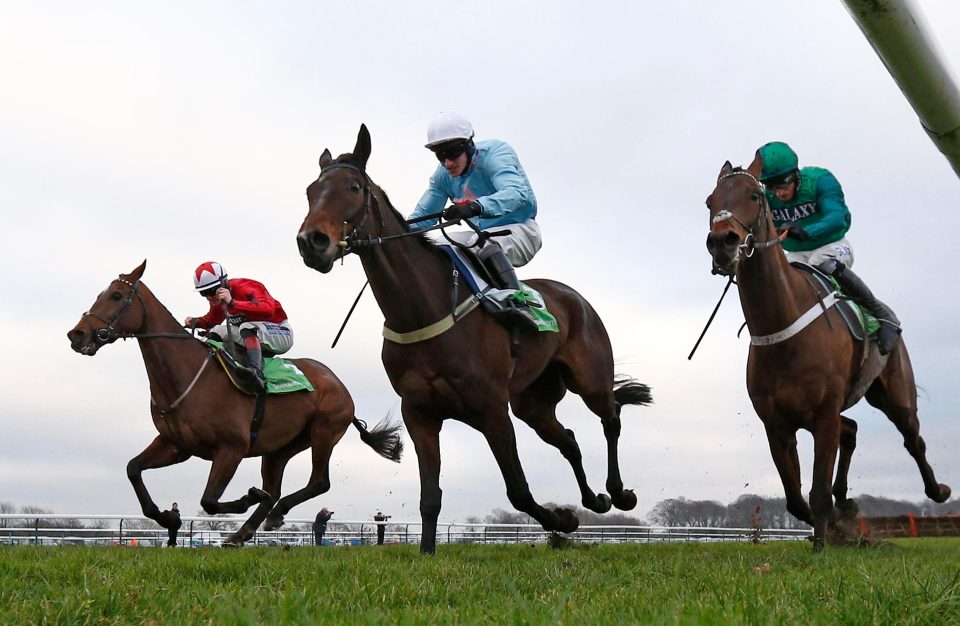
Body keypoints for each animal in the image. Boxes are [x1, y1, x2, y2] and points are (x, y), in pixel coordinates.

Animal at [65, 260, 400, 544]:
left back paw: (272, 514)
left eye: (117, 296)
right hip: (279, 448)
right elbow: (133, 469)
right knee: (274, 488)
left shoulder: (231, 448)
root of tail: (340, 385)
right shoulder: (177, 445)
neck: (188, 376)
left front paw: (246, 497)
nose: (76, 334)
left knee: (318, 482)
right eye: (101, 294)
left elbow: (210, 500)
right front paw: (166, 518)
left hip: (323, 433)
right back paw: (244, 532)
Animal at [294, 125, 652, 552]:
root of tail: (574, 297)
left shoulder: (492, 410)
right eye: (310, 191)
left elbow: (518, 490)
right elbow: (430, 497)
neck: (424, 308)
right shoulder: (420, 413)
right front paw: (427, 552)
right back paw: (594, 500)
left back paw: (618, 492)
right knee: (568, 439)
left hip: (589, 379)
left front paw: (561, 520)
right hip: (532, 402)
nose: (311, 242)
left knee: (610, 417)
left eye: (352, 186)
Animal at [704, 157, 952, 552]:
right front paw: (837, 523)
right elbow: (795, 499)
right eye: (709, 201)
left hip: (895, 395)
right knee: (851, 430)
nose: (721, 242)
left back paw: (937, 490)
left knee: (913, 439)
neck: (782, 325)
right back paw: (846, 502)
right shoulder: (777, 424)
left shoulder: (823, 414)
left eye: (755, 196)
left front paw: (822, 545)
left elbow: (817, 490)